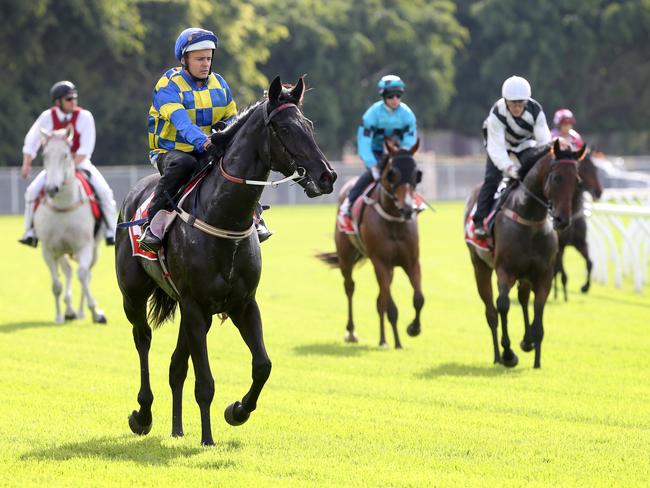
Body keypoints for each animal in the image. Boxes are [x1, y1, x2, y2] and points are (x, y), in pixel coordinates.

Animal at [32, 127, 105, 324]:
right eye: (45, 155)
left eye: (65, 155)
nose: (52, 188)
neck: (63, 208)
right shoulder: (49, 251)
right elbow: (56, 284)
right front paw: (59, 316)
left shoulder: (84, 246)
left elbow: (83, 275)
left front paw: (96, 312)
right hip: (62, 253)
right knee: (68, 272)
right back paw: (70, 311)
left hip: (94, 250)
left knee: (86, 274)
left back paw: (80, 312)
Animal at [116, 76, 336, 446]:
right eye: (285, 129)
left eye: (309, 125)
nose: (327, 176)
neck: (223, 217)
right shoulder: (195, 304)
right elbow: (205, 383)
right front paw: (207, 438)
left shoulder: (241, 303)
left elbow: (262, 365)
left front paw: (237, 411)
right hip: (134, 294)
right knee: (142, 338)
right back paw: (143, 415)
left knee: (176, 366)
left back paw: (177, 429)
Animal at [316, 139, 422, 348]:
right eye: (393, 173)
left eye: (417, 173)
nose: (407, 209)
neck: (393, 222)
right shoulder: (380, 262)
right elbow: (389, 305)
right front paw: (392, 341)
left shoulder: (412, 261)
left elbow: (418, 298)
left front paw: (413, 329)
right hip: (346, 257)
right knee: (350, 287)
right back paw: (352, 332)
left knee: (380, 298)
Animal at [464, 139, 584, 368]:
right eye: (556, 177)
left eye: (577, 180)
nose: (563, 220)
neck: (530, 219)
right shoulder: (505, 270)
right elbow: (502, 305)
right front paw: (508, 354)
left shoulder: (543, 274)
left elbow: (537, 310)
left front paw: (536, 358)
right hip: (480, 266)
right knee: (491, 312)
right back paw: (497, 356)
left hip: (525, 275)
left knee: (522, 298)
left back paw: (526, 342)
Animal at [552, 152, 604, 300]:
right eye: (585, 169)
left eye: (595, 168)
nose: (599, 192)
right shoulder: (560, 246)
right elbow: (562, 272)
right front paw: (565, 295)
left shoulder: (580, 243)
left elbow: (590, 263)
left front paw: (585, 287)